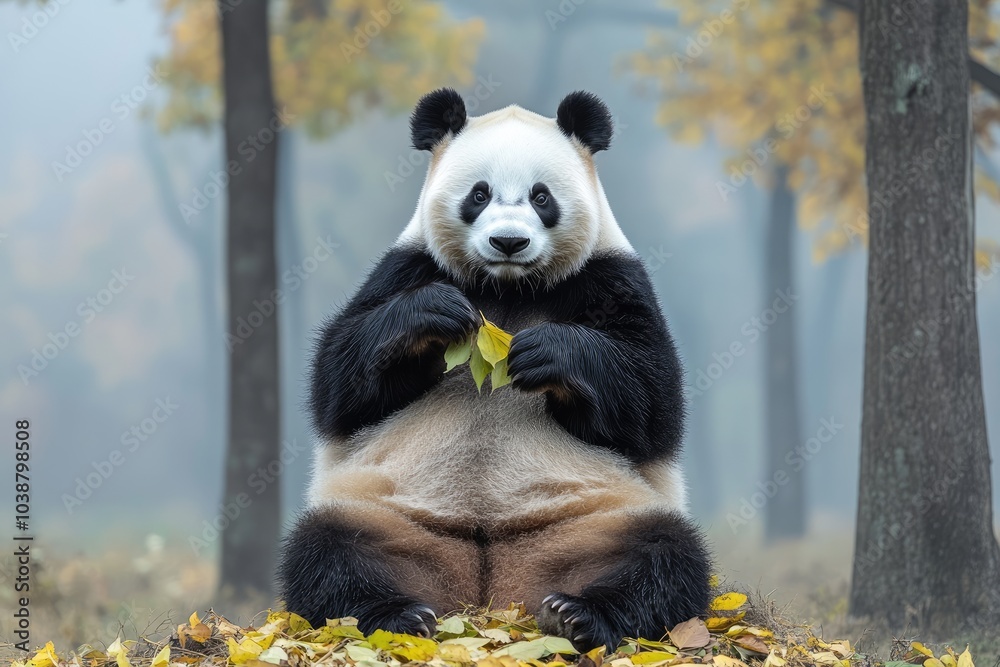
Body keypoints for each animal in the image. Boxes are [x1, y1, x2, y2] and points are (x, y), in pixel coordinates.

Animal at [278, 89, 710, 650]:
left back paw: (576, 615)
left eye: (541, 197)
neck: (506, 287)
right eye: (479, 194)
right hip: (390, 515)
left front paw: (549, 353)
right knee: (327, 548)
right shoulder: (406, 267)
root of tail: (489, 591)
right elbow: (339, 383)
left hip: (596, 518)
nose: (509, 242)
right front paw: (431, 314)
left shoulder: (611, 276)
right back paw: (401, 615)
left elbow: (652, 401)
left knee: (665, 553)